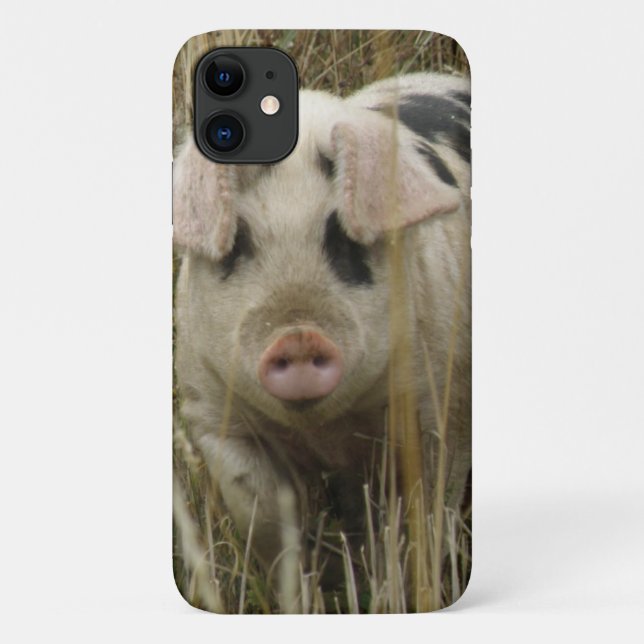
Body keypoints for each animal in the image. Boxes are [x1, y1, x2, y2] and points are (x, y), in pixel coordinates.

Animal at [173, 72, 471, 577]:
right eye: (237, 243)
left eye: (345, 238)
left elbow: (426, 510)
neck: (326, 430)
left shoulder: (438, 404)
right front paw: (306, 578)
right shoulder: (212, 411)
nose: (297, 336)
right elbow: (261, 512)